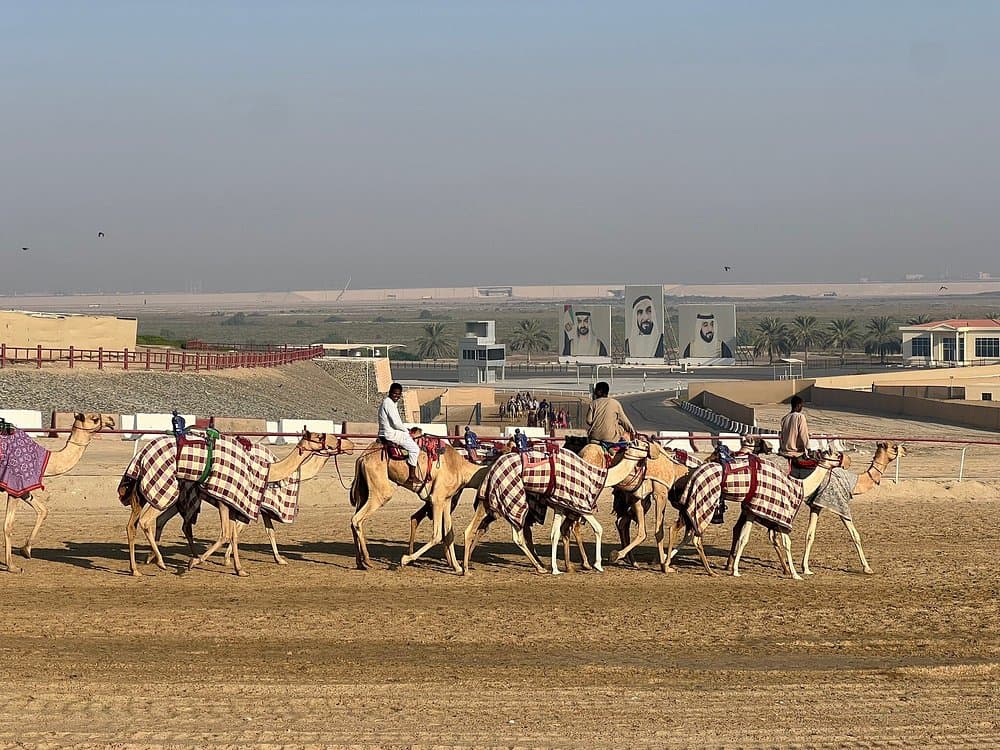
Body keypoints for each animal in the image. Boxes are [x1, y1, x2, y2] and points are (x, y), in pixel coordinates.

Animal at [2, 412, 115, 573]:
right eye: (94, 418)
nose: (111, 420)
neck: (45, 461)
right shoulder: (15, 482)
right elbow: (8, 525)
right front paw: (12, 566)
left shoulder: (24, 487)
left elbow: (43, 510)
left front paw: (26, 550)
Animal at [123, 430, 344, 576]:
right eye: (319, 437)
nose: (341, 441)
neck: (269, 470)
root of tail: (141, 456)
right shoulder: (230, 500)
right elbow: (229, 533)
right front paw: (202, 563)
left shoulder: (243, 503)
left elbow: (248, 533)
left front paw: (241, 567)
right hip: (168, 490)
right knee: (148, 521)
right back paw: (160, 562)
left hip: (166, 495)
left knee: (141, 523)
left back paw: (139, 566)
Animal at [464, 438, 659, 575]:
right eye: (641, 443)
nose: (655, 449)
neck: (599, 475)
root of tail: (491, 466)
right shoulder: (580, 504)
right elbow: (598, 529)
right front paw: (597, 565)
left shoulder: (560, 504)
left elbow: (554, 534)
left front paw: (557, 568)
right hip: (513, 497)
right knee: (516, 535)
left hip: (490, 499)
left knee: (472, 529)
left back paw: (466, 567)